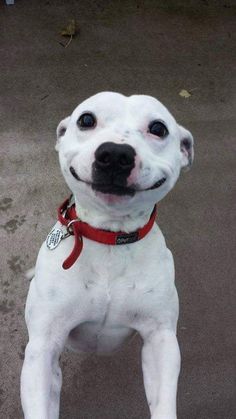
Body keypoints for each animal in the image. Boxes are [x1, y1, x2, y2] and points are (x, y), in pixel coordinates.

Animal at [20, 92, 194, 419]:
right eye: (86, 119)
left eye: (158, 128)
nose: (115, 153)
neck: (110, 237)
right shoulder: (43, 347)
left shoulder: (160, 339)